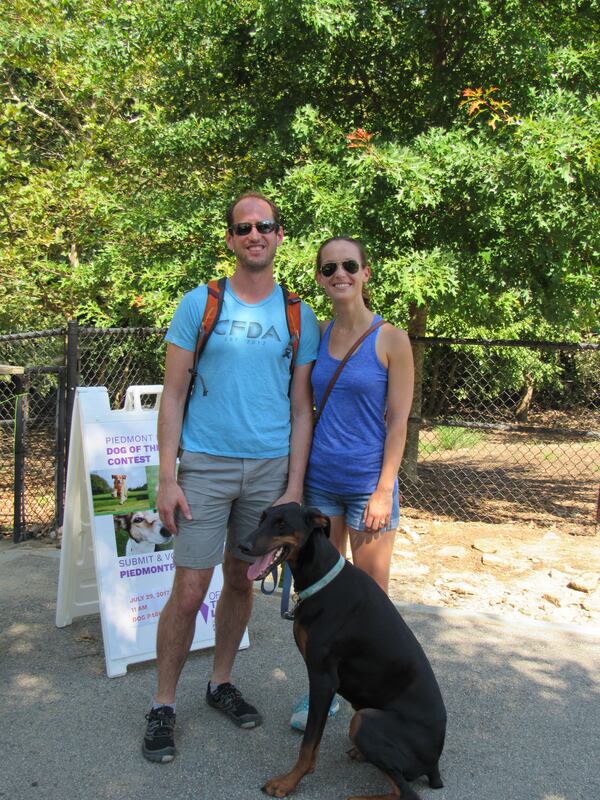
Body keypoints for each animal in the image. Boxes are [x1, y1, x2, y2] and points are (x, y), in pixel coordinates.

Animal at [243, 504, 446, 796]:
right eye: (262, 519)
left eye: (281, 524)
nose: (243, 545)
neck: (322, 579)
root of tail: (434, 764)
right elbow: (311, 745)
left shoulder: (323, 678)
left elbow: (308, 744)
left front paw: (288, 782)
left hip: (364, 719)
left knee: (406, 792)